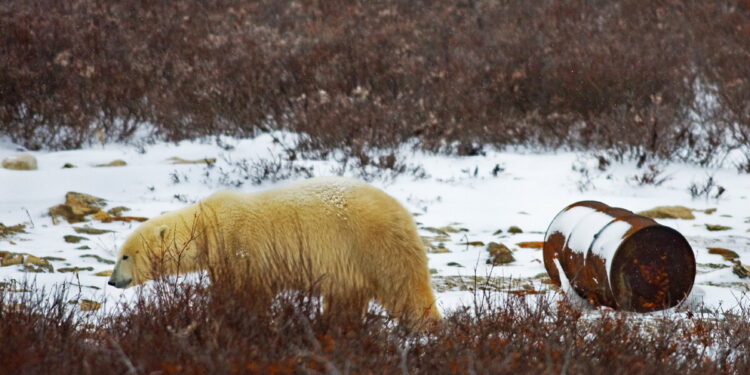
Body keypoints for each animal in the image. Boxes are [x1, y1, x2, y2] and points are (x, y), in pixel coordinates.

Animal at [108, 178, 444, 322]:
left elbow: (243, 292)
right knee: (345, 299)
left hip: (374, 247)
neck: (209, 225)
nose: (111, 281)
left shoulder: (241, 248)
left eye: (125, 255)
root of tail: (402, 212)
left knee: (405, 289)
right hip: (349, 264)